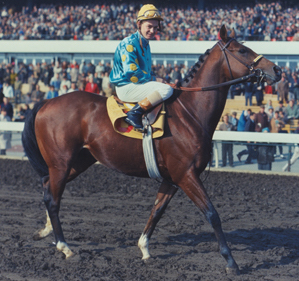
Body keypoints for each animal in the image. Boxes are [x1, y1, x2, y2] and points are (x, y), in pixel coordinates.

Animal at [22, 25, 282, 272]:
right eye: (242, 50)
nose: (277, 70)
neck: (190, 113)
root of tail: (46, 102)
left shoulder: (172, 179)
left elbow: (156, 211)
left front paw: (144, 249)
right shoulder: (186, 175)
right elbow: (212, 214)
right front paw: (231, 262)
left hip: (77, 162)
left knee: (48, 188)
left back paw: (46, 231)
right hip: (61, 163)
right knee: (53, 199)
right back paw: (64, 247)